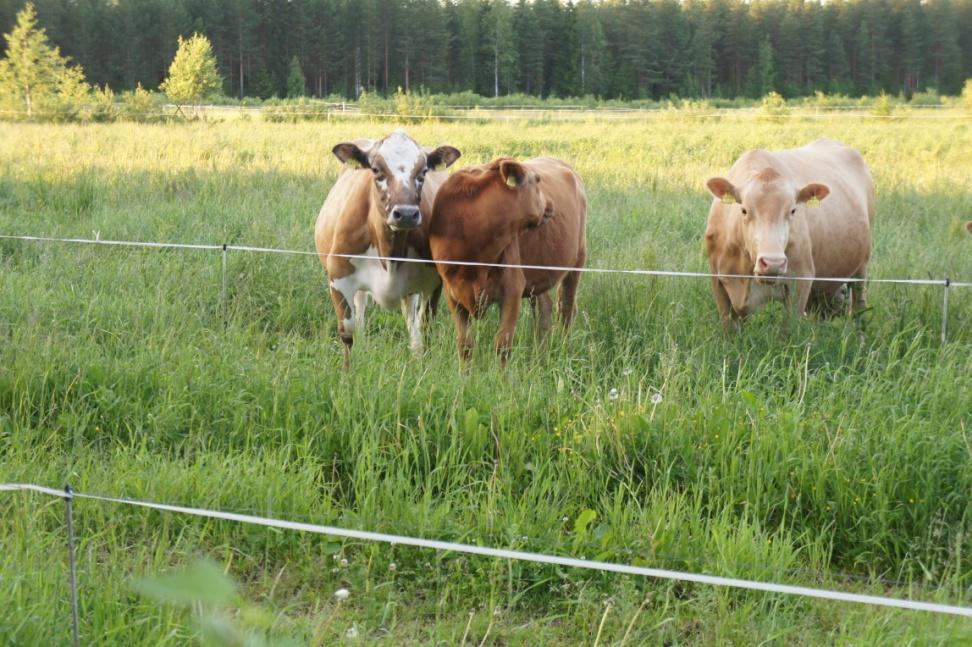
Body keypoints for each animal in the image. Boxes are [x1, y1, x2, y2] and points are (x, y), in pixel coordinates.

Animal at [314, 130, 462, 370]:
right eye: (376, 170)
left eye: (423, 171)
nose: (407, 214)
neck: (389, 253)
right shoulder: (338, 278)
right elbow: (347, 331)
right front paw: (346, 373)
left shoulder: (433, 283)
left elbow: (424, 327)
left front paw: (423, 367)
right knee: (361, 310)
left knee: (411, 318)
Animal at [430, 158, 584, 368]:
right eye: (536, 180)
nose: (551, 204)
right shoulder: (452, 293)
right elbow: (465, 345)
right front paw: (465, 375)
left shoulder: (512, 289)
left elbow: (502, 344)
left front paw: (502, 377)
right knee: (544, 310)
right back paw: (540, 355)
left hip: (578, 259)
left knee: (567, 308)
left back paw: (564, 352)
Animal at [704, 139, 876, 326]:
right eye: (744, 210)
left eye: (793, 210)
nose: (773, 263)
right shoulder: (718, 282)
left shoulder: (801, 278)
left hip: (862, 266)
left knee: (859, 306)